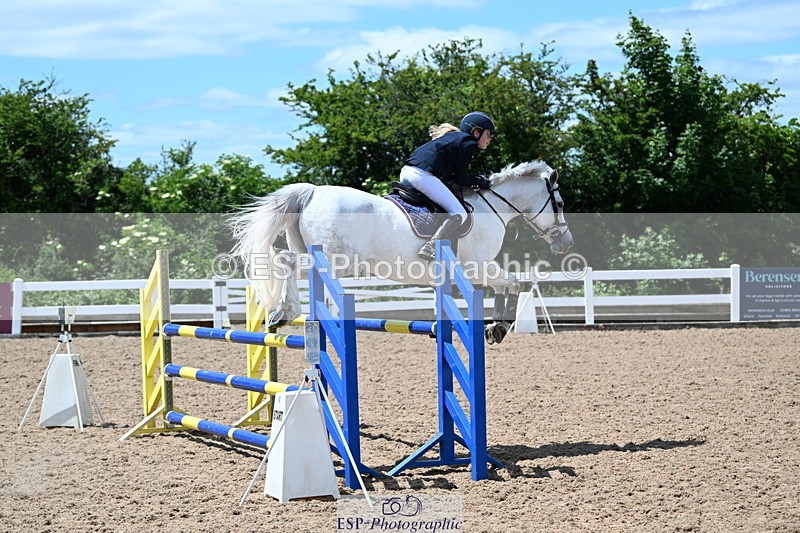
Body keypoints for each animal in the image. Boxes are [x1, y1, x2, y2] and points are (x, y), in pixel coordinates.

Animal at [230, 160, 573, 344]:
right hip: (336, 259)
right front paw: (498, 328)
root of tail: (312, 192)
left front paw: (492, 328)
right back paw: (294, 312)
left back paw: (282, 315)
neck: (494, 207)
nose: (565, 242)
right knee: (289, 263)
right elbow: (512, 282)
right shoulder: (477, 266)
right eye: (559, 204)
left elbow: (501, 287)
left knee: (287, 262)